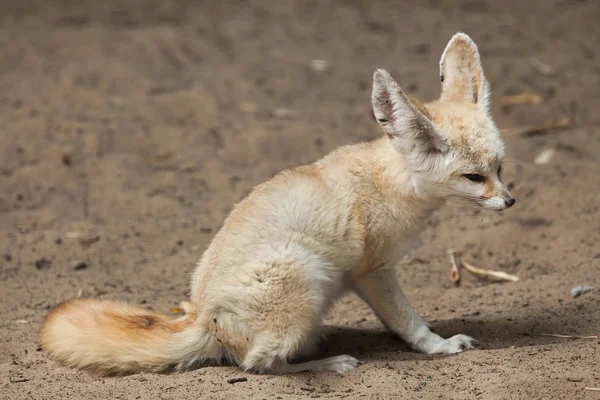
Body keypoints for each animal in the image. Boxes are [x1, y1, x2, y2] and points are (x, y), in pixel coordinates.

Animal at [39, 32, 512, 376]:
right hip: (303, 277)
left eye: (499, 167)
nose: (510, 200)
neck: (388, 181)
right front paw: (439, 346)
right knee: (257, 364)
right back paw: (328, 363)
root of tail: (201, 317)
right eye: (473, 178)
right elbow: (408, 322)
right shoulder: (374, 272)